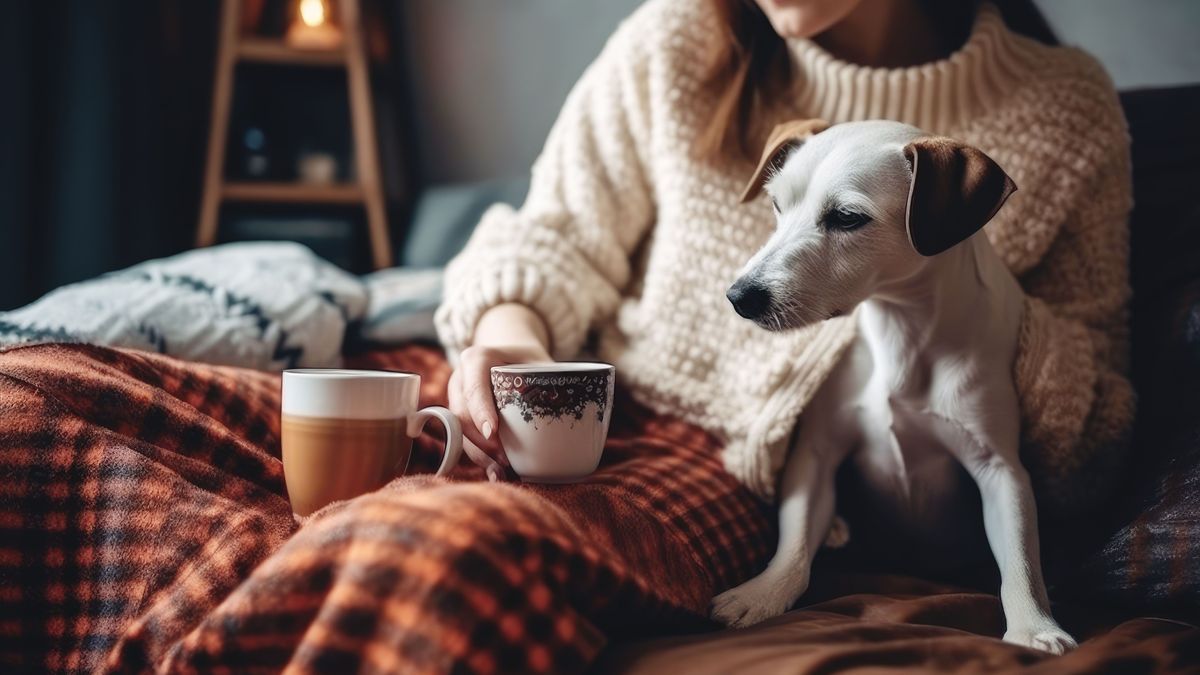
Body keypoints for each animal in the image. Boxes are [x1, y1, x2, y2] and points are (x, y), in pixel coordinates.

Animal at [710, 117, 1080, 653]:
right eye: (778, 204)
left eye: (847, 218)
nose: (740, 297)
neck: (901, 328)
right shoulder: (817, 452)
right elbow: (795, 542)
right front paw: (764, 593)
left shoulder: (1000, 469)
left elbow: (1021, 559)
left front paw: (1034, 627)